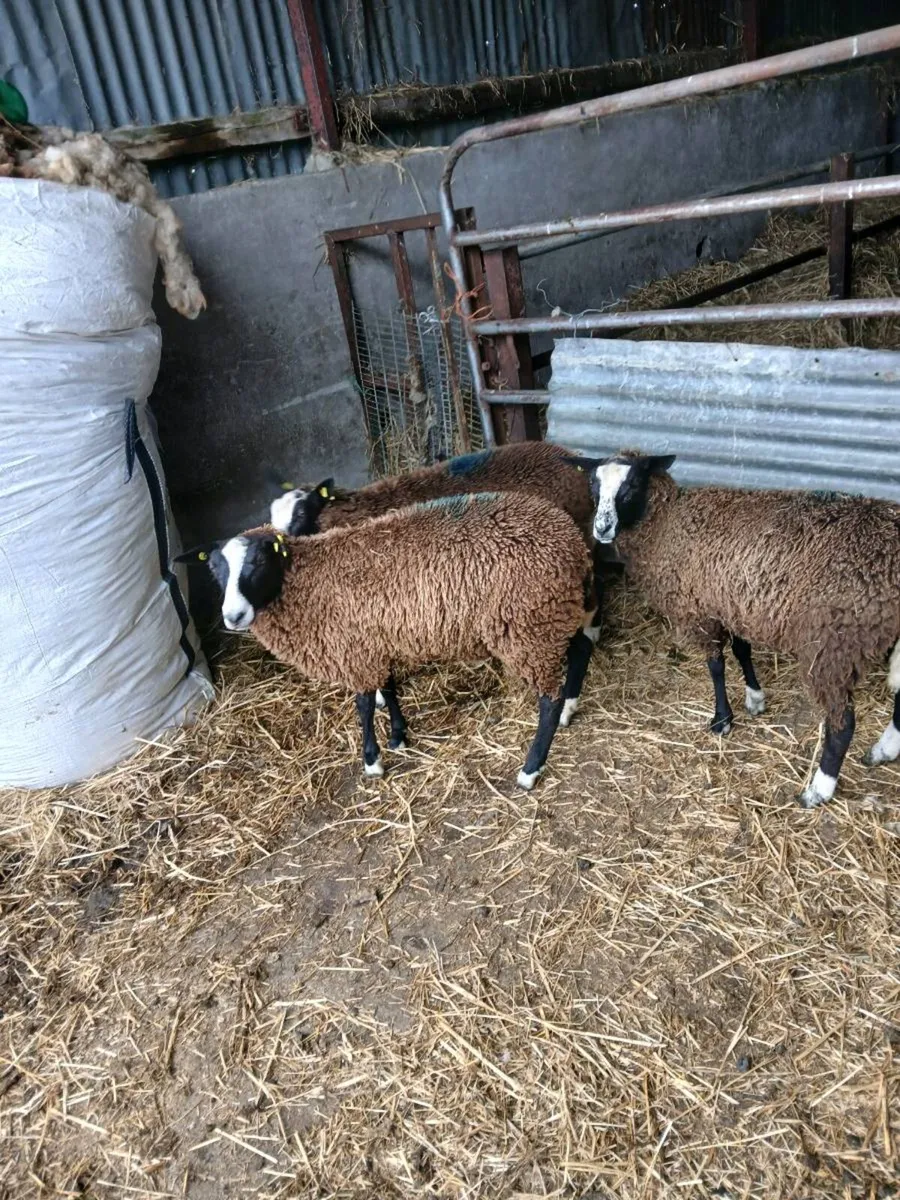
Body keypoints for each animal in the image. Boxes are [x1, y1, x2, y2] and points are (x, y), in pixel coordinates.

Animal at [177, 491, 595, 790]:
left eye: (259, 562)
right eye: (214, 569)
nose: (233, 617)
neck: (304, 580)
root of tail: (572, 541)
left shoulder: (355, 648)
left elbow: (363, 705)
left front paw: (372, 761)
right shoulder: (376, 638)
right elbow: (389, 688)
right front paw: (398, 736)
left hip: (527, 625)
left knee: (548, 697)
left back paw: (531, 768)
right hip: (552, 612)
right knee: (582, 649)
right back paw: (570, 708)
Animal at [570, 450, 900, 808]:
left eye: (631, 485)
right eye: (593, 485)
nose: (602, 528)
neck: (667, 524)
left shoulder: (701, 608)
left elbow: (716, 665)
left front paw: (722, 719)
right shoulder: (732, 601)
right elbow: (742, 651)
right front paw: (755, 698)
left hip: (834, 644)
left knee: (843, 724)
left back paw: (819, 789)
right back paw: (884, 750)